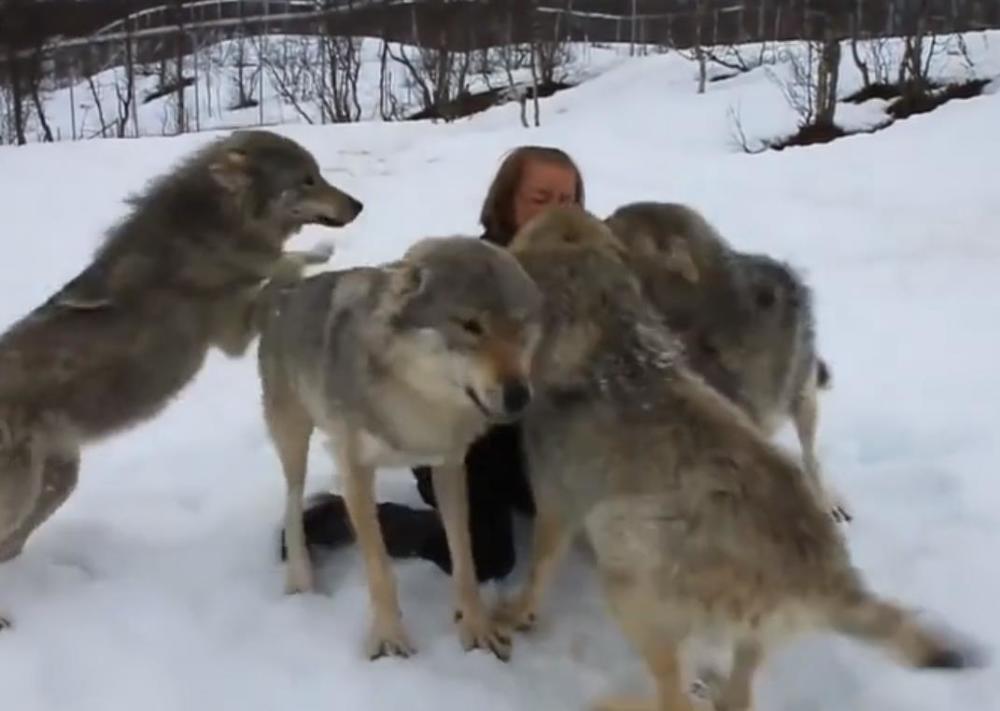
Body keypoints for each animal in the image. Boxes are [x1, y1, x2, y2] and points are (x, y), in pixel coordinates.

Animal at [0, 129, 364, 628]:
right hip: (23, 490)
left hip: (57, 482)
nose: (359, 205)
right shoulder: (233, 333)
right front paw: (316, 254)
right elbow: (280, 270)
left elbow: (280, 267)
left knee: (10, 546)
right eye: (306, 180)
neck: (209, 235)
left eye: (320, 174)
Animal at [254, 235, 544, 660]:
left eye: (520, 325)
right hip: (293, 441)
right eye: (471, 326)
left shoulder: (449, 466)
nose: (520, 396)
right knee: (292, 503)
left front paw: (475, 627)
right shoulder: (355, 471)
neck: (416, 401)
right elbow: (379, 567)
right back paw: (300, 580)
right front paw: (389, 639)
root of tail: (285, 292)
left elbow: (465, 560)